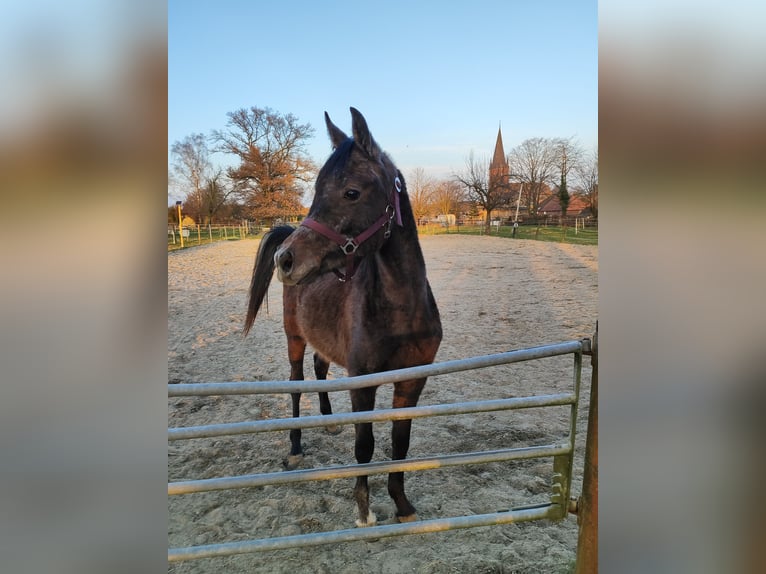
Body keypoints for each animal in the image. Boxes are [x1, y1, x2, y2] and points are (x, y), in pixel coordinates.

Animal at [243, 109, 440, 532]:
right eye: (317, 190)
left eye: (351, 192)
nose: (285, 259)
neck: (402, 311)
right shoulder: (362, 382)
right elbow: (364, 445)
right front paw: (364, 510)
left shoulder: (412, 381)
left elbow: (400, 443)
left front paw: (402, 504)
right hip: (294, 339)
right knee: (296, 383)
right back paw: (296, 448)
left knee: (320, 369)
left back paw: (328, 420)